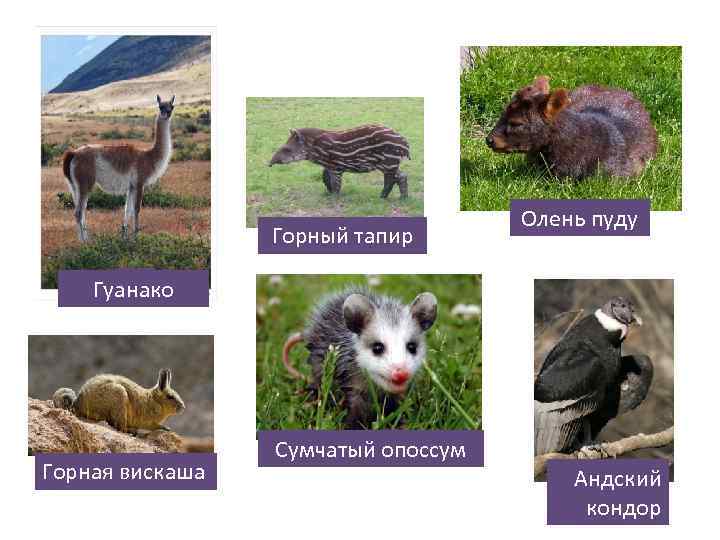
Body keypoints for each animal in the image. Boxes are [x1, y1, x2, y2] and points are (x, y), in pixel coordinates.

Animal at [61, 95, 175, 241]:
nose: (166, 114)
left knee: (81, 210)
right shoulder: (139, 183)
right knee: (79, 212)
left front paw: (124, 236)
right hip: (85, 182)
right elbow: (137, 209)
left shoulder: (131, 186)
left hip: (74, 185)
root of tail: (74, 153)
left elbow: (128, 211)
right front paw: (136, 236)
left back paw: (86, 238)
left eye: (172, 106)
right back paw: (84, 242)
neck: (148, 157)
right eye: (160, 106)